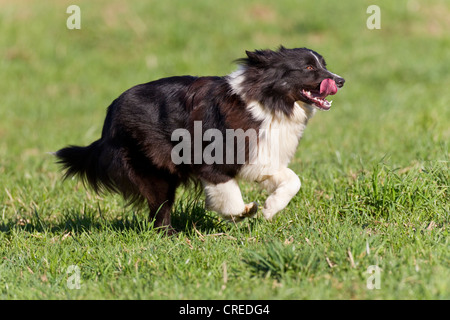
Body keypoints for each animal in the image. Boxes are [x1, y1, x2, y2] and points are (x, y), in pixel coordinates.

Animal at [56, 46, 344, 234]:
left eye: (323, 64)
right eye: (308, 67)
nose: (340, 80)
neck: (267, 100)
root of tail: (108, 121)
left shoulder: (261, 156)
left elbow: (293, 180)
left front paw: (270, 209)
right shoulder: (213, 162)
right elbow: (228, 195)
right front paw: (244, 211)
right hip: (151, 168)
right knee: (159, 207)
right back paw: (169, 237)